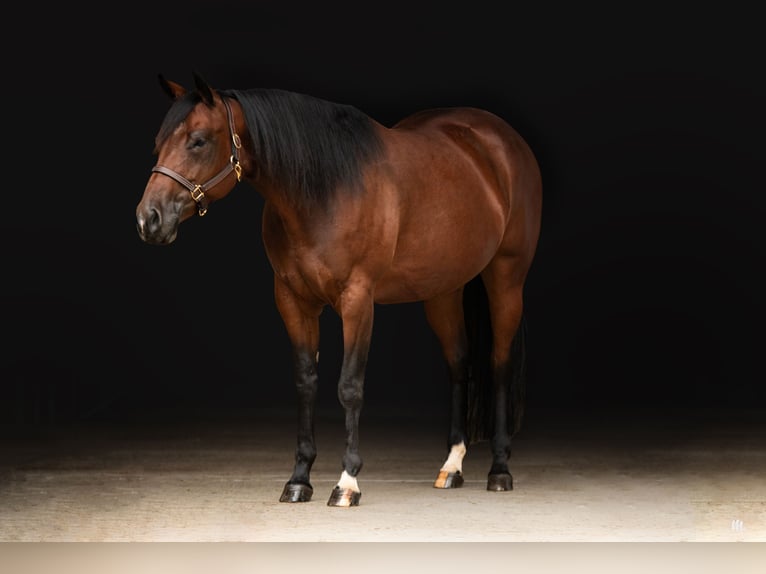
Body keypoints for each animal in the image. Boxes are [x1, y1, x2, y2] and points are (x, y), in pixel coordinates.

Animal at [140, 73, 544, 508]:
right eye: (158, 143)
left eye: (197, 141)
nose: (149, 219)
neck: (325, 190)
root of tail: (499, 140)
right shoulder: (292, 300)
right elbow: (306, 381)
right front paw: (299, 479)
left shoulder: (357, 299)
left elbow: (349, 387)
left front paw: (347, 481)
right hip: (443, 291)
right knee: (459, 364)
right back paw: (451, 466)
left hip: (506, 278)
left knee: (499, 366)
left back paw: (499, 469)